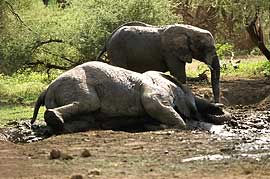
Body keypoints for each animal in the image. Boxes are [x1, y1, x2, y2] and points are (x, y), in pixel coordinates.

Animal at [31, 61, 229, 133]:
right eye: (195, 101)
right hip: (78, 85)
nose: (220, 107)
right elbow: (153, 105)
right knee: (89, 103)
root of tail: (47, 89)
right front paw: (158, 126)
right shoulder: (156, 92)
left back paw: (60, 127)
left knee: (86, 120)